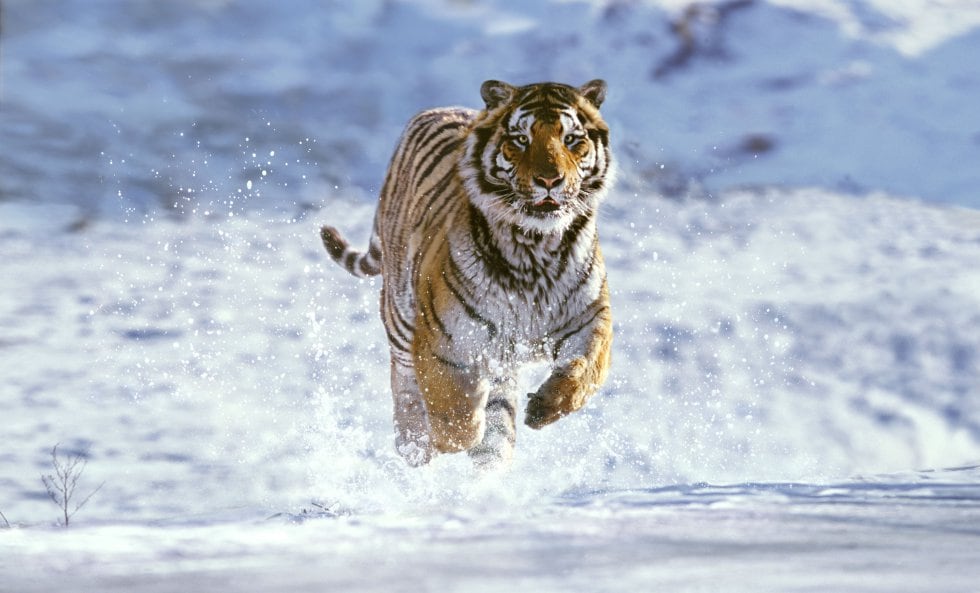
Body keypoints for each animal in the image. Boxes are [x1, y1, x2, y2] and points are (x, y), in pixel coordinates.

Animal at [320, 79, 614, 469]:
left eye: (571, 140)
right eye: (521, 139)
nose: (550, 180)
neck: (535, 248)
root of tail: (438, 109)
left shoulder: (590, 317)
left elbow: (587, 369)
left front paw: (544, 408)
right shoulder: (443, 340)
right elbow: (455, 418)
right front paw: (445, 438)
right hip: (400, 316)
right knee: (404, 381)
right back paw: (415, 444)